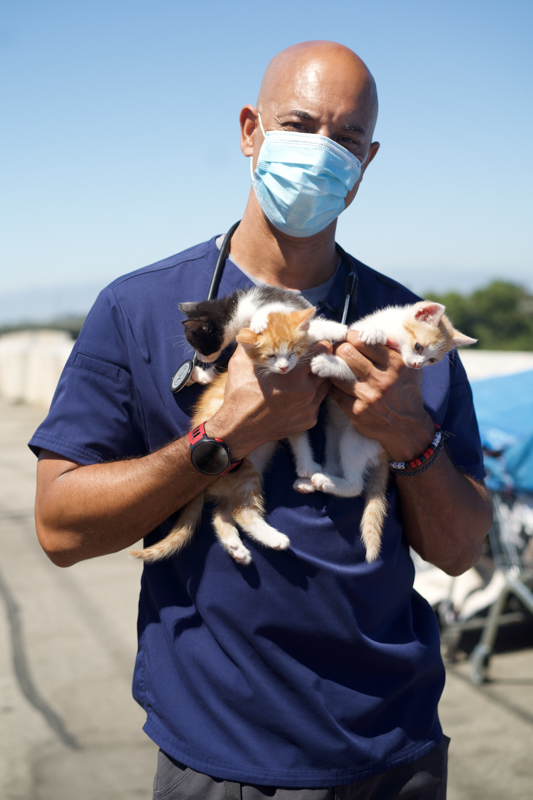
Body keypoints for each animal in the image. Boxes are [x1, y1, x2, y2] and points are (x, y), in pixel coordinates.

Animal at [132, 304, 322, 564]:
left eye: (293, 353)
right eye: (271, 356)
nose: (284, 367)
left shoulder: (294, 418)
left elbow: (300, 440)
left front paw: (306, 467)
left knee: (222, 511)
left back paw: (236, 547)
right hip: (245, 471)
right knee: (242, 511)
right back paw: (274, 538)